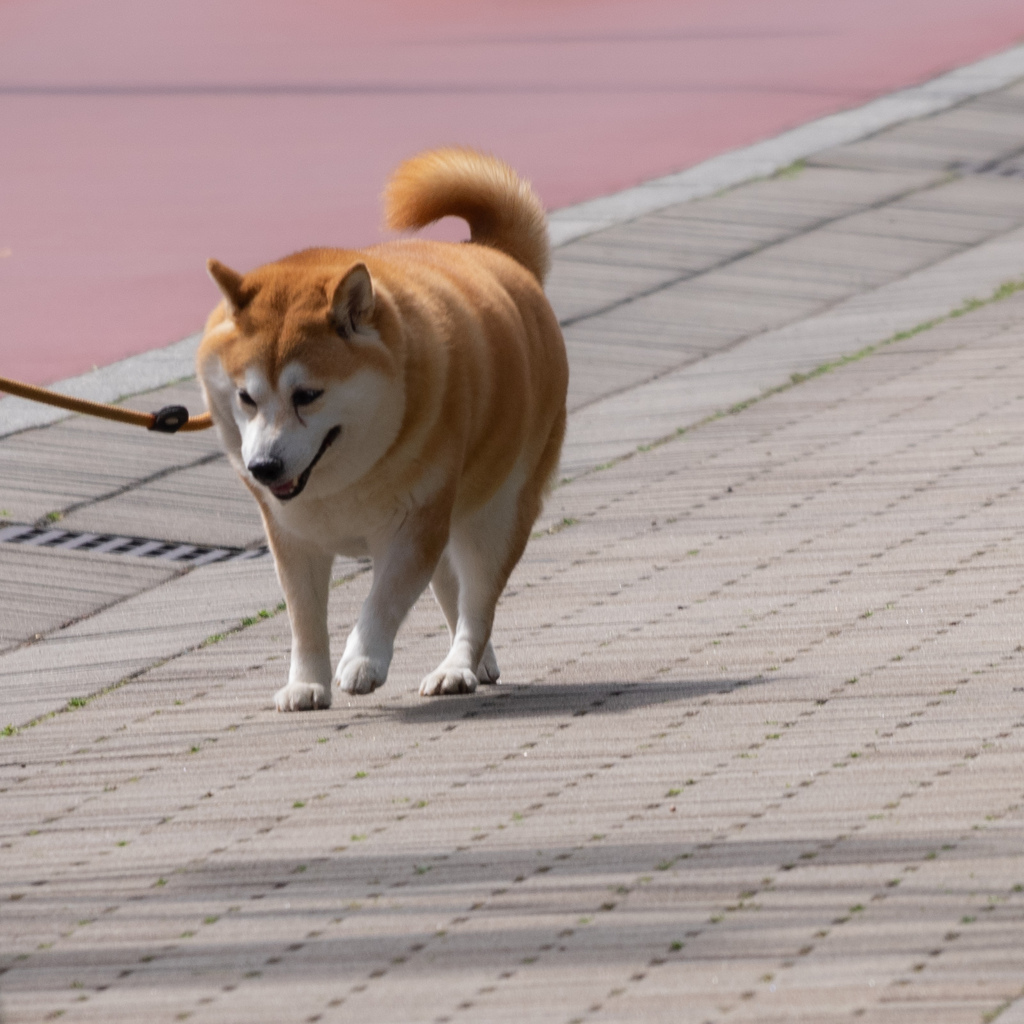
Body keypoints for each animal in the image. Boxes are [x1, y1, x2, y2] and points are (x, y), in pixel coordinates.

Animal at [195, 149, 569, 712]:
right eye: (246, 396)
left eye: (307, 395)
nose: (263, 467)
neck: (340, 483)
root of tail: (496, 254)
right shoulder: (292, 537)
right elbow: (305, 619)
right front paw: (306, 682)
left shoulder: (412, 526)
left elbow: (383, 602)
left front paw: (363, 661)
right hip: (449, 525)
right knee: (454, 594)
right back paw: (478, 663)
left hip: (495, 516)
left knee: (477, 604)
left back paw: (457, 667)